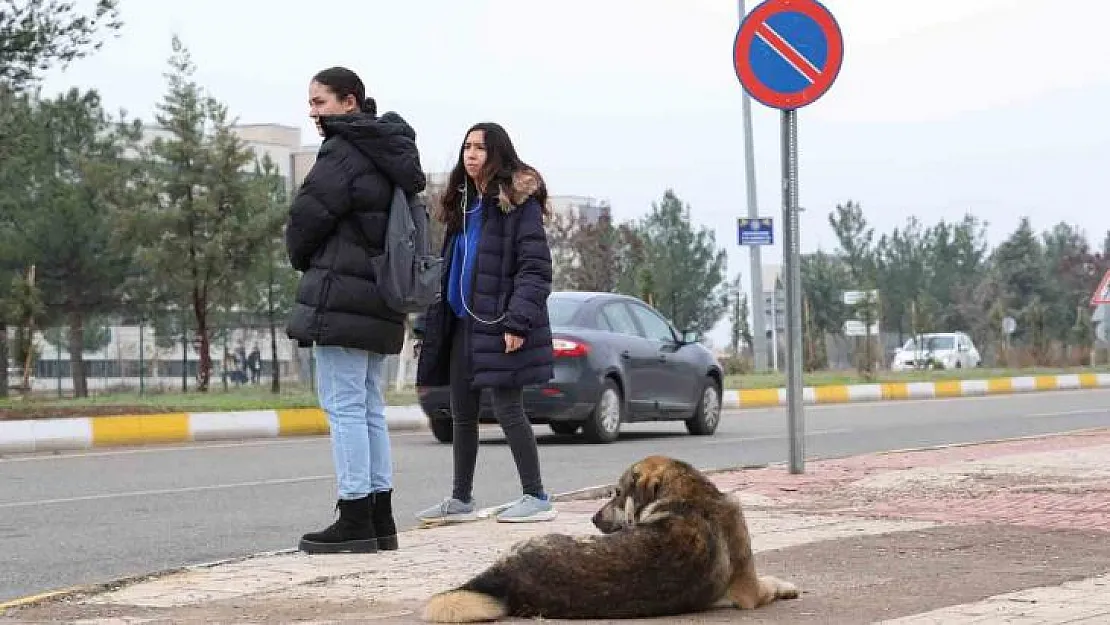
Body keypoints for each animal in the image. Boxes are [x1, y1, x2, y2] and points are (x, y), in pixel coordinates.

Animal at [419, 457, 794, 621]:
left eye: (616, 492)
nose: (593, 518)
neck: (686, 494)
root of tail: (506, 574)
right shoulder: (749, 591)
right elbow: (770, 581)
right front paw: (786, 585)